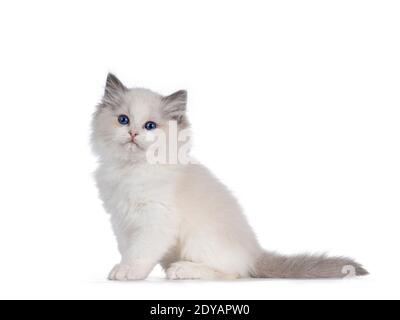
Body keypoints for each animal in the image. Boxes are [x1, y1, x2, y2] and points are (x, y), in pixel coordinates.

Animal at [91, 73, 368, 280]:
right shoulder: (121, 220)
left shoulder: (155, 220)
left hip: (199, 239)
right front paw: (122, 268)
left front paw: (129, 272)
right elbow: (128, 249)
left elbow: (141, 253)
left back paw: (182, 269)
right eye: (123, 120)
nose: (133, 134)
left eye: (150, 126)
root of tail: (254, 252)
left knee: (232, 273)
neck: (132, 169)